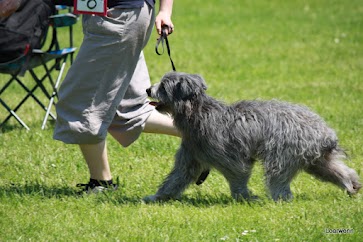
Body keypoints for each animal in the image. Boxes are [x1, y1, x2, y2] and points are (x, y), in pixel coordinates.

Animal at [144, 72, 362, 202]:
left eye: (163, 86)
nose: (147, 89)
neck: (198, 112)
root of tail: (325, 131)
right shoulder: (191, 157)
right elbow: (176, 178)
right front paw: (158, 197)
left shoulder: (229, 157)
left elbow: (237, 174)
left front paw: (244, 198)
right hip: (314, 160)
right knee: (337, 170)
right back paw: (351, 185)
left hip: (284, 154)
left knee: (278, 178)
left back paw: (280, 199)